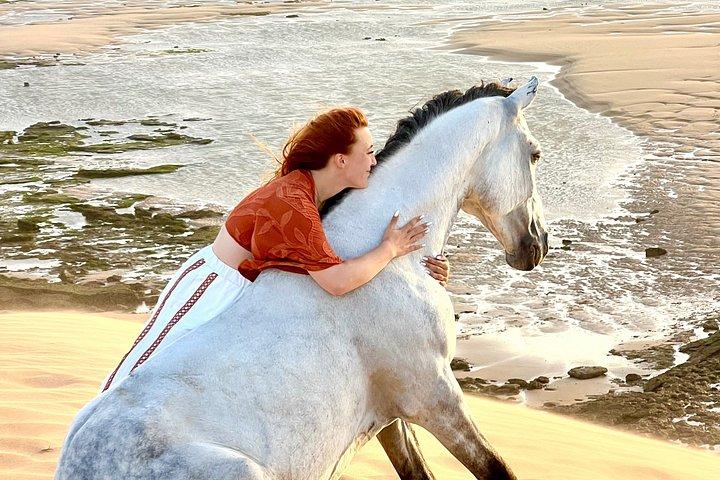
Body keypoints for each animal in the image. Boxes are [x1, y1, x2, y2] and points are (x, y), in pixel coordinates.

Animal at [55, 76, 548, 480]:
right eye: (536, 154)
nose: (538, 244)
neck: (381, 259)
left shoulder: (389, 414)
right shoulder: (433, 395)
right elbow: (495, 470)